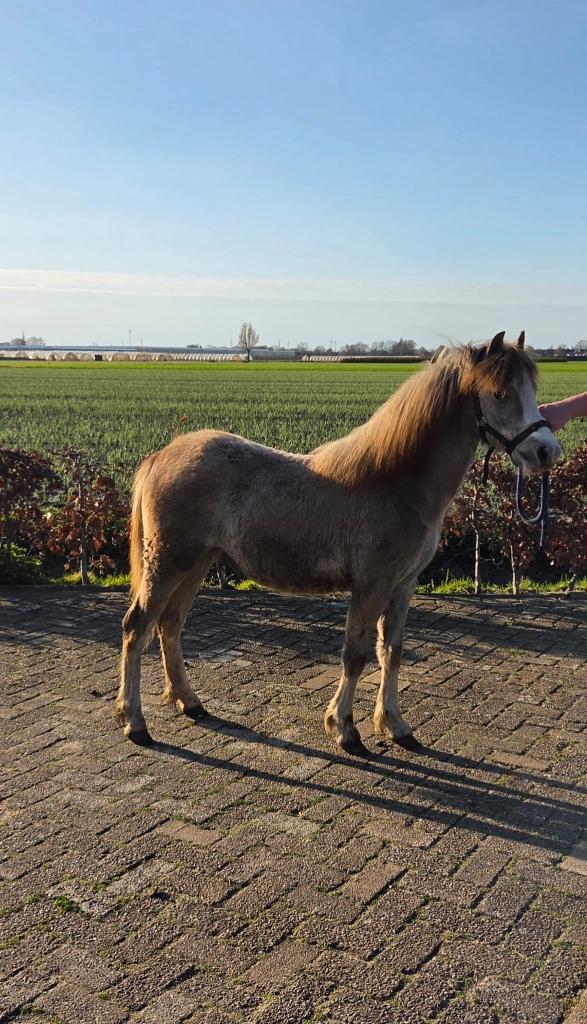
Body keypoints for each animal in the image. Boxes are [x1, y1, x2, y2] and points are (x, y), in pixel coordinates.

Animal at [116, 332, 560, 755]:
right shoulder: (371, 586)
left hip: (197, 563)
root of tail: (161, 456)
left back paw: (189, 702)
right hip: (168, 563)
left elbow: (392, 651)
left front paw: (395, 725)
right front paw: (345, 729)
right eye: (501, 393)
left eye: (532, 388)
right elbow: (356, 654)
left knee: (170, 625)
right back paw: (135, 722)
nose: (546, 451)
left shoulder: (403, 586)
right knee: (138, 627)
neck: (397, 482)